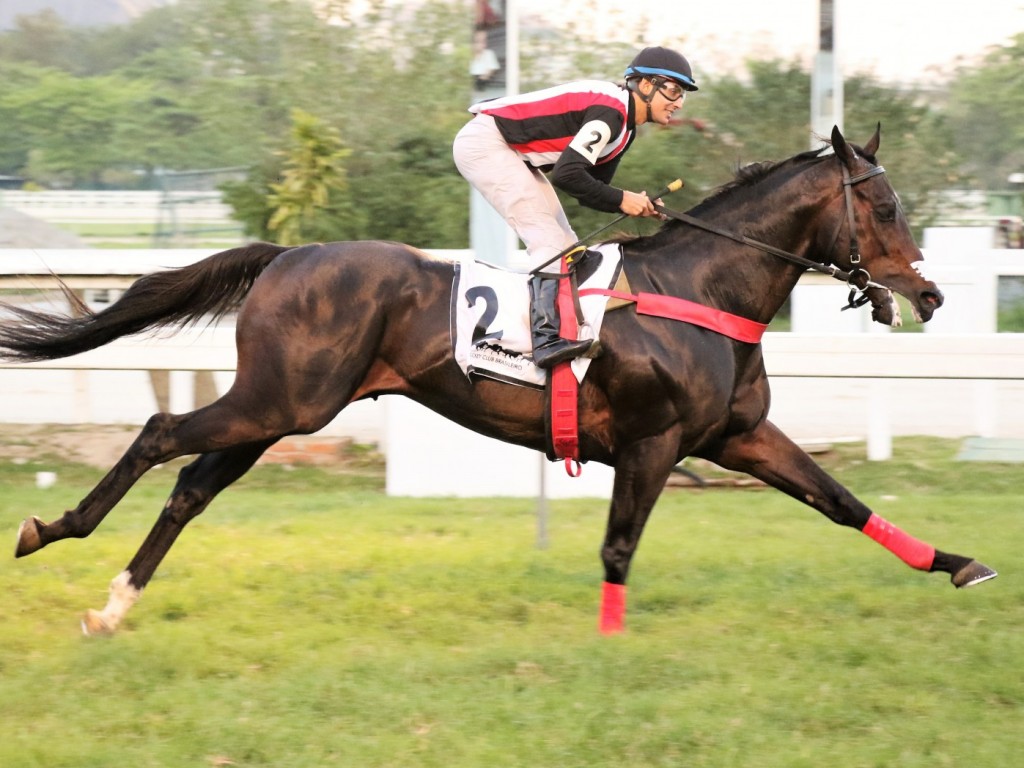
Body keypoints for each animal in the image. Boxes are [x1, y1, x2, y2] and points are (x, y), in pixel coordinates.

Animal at [0, 126, 991, 634]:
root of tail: (288, 253)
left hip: (282, 411)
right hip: (282, 400)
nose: (932, 293)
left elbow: (842, 501)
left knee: (192, 487)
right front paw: (611, 645)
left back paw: (114, 606)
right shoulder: (655, 443)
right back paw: (51, 530)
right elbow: (619, 548)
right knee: (160, 436)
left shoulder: (738, 437)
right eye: (885, 205)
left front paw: (958, 563)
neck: (701, 290)